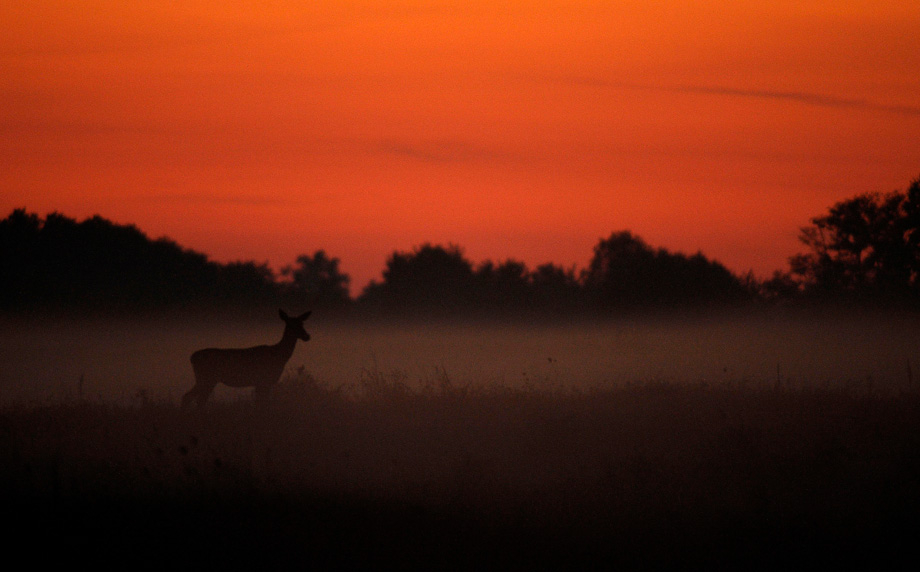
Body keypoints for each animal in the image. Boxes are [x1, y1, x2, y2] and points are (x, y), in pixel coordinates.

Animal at [182, 310, 312, 408]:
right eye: (291, 324)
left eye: (302, 323)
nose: (307, 336)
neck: (279, 355)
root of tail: (192, 357)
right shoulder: (263, 380)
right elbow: (262, 403)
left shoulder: (262, 382)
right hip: (207, 378)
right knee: (195, 399)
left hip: (205, 379)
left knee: (190, 397)